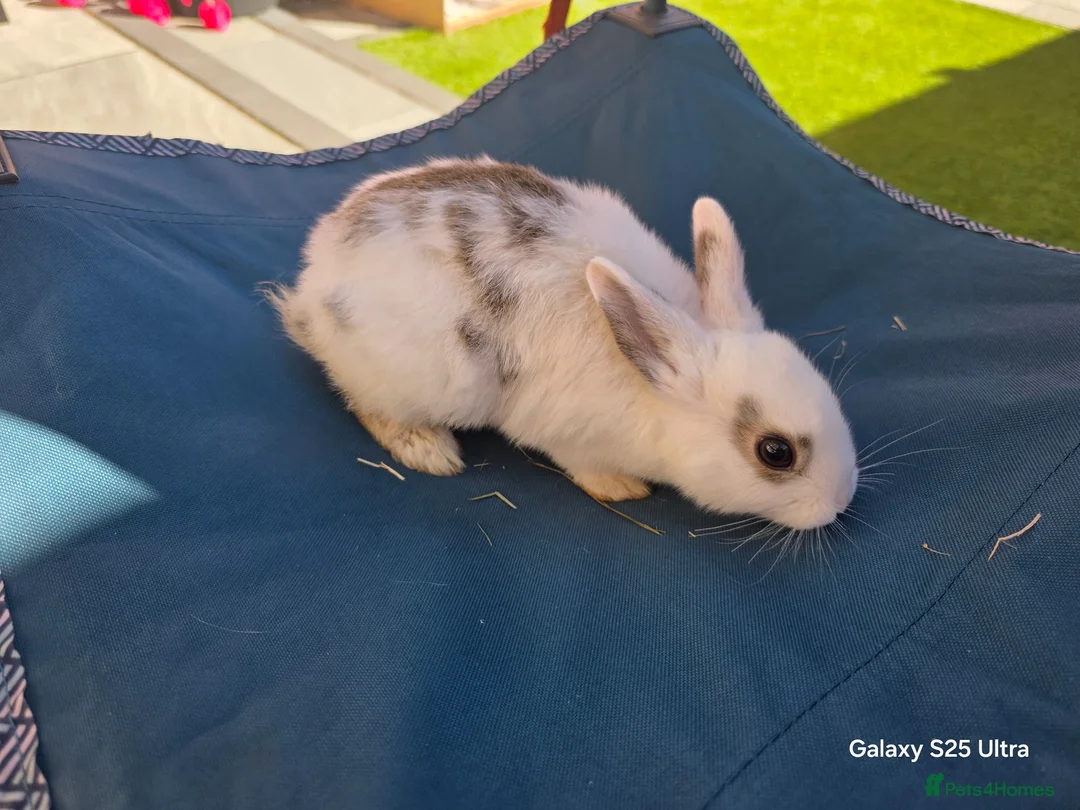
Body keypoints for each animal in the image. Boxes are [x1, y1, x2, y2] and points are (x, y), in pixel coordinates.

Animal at [264, 156, 858, 530]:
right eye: (775, 452)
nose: (840, 501)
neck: (648, 387)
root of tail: (315, 281)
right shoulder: (568, 435)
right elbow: (585, 467)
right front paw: (622, 488)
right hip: (414, 380)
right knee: (369, 406)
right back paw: (430, 451)